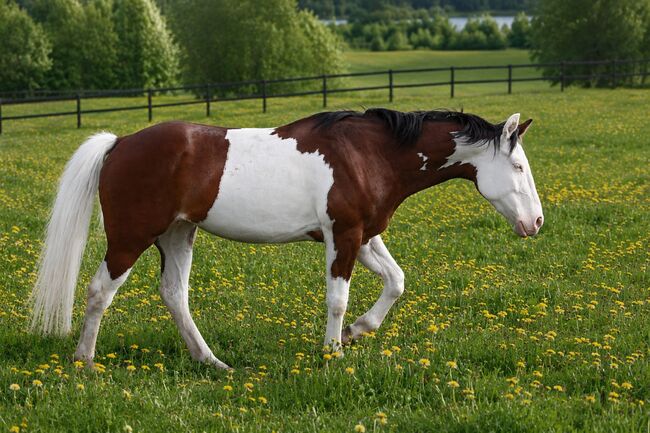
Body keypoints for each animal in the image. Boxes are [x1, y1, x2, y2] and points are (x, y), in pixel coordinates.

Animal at [30, 108, 543, 369]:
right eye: (519, 167)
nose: (536, 223)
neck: (368, 153)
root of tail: (120, 143)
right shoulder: (344, 235)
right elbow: (337, 298)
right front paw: (333, 350)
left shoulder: (362, 235)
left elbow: (396, 282)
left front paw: (357, 331)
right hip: (130, 238)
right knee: (99, 292)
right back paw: (84, 360)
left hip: (178, 234)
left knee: (175, 294)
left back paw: (211, 361)